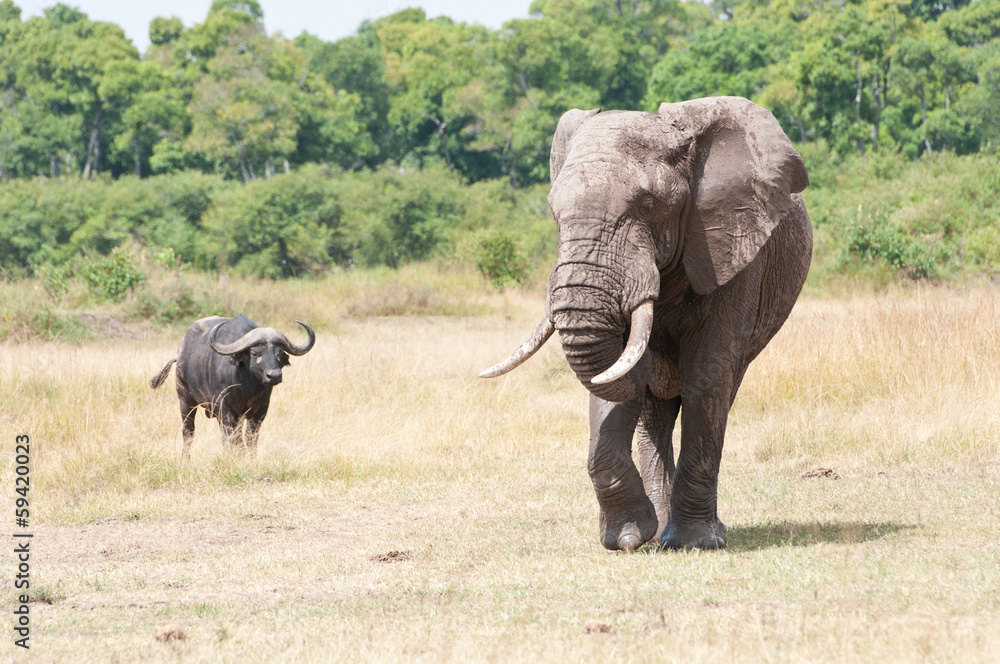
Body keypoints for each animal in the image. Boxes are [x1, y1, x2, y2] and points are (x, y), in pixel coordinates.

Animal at [150, 316, 314, 456]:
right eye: (255, 353)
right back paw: (185, 458)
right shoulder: (226, 410)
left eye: (279, 352)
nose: (273, 375)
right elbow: (231, 437)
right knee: (188, 431)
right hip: (185, 400)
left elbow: (250, 438)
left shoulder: (260, 411)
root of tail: (180, 354)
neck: (247, 386)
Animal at [478, 93, 812, 548]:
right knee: (655, 415)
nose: (653, 352)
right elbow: (609, 383)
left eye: (649, 206)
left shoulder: (731, 251)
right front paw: (626, 539)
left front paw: (695, 543)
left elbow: (707, 373)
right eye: (553, 212)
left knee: (719, 390)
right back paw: (658, 533)